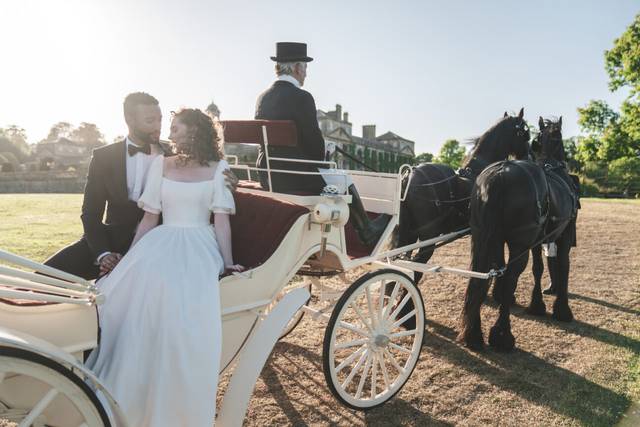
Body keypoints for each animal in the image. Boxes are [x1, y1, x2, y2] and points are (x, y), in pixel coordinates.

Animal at [458, 116, 576, 352]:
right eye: (526, 136)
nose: (528, 154)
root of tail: (501, 173)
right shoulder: (564, 234)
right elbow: (563, 266)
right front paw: (562, 309)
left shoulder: (538, 240)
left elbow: (538, 268)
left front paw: (537, 304)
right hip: (518, 243)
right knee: (510, 276)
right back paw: (502, 335)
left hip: (485, 237)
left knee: (481, 276)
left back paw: (474, 334)